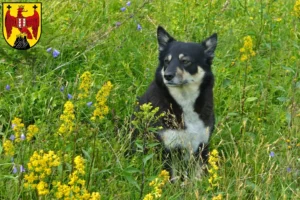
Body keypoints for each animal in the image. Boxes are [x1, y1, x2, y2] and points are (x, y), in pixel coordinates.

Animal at [130, 25, 217, 180]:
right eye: (166, 61)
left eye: (185, 61)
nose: (167, 75)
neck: (184, 102)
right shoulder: (168, 150)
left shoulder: (201, 147)